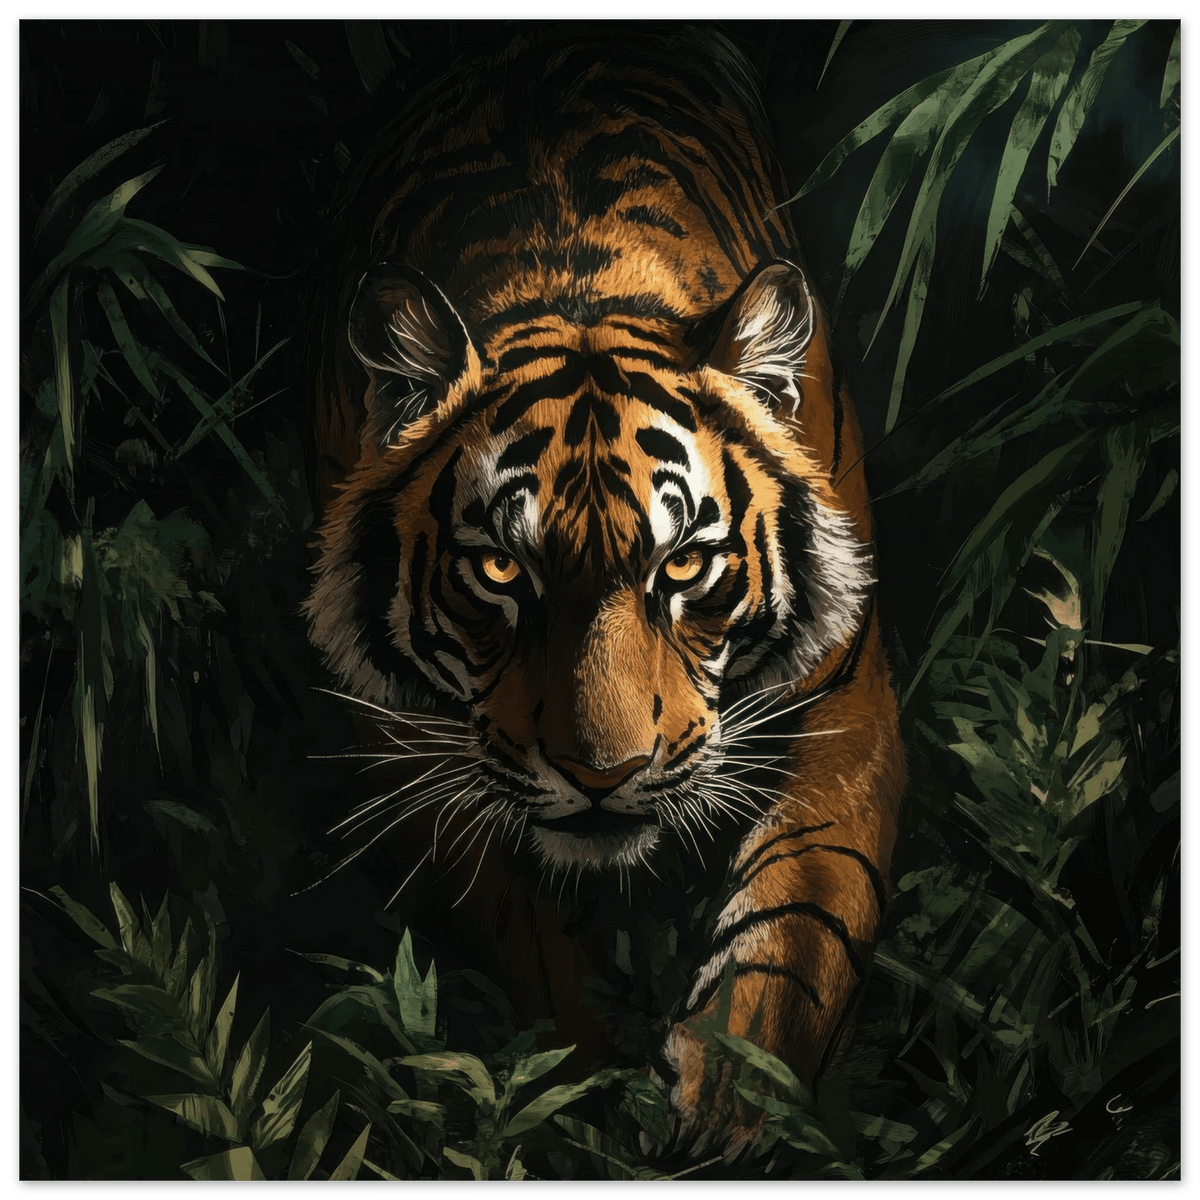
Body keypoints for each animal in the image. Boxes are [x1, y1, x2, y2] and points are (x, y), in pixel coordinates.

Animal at [305, 23, 905, 1154]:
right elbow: (540, 957)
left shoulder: (842, 707)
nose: (602, 775)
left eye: (683, 565)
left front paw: (727, 1100)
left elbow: (798, 929)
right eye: (503, 570)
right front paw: (575, 1102)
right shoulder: (413, 745)